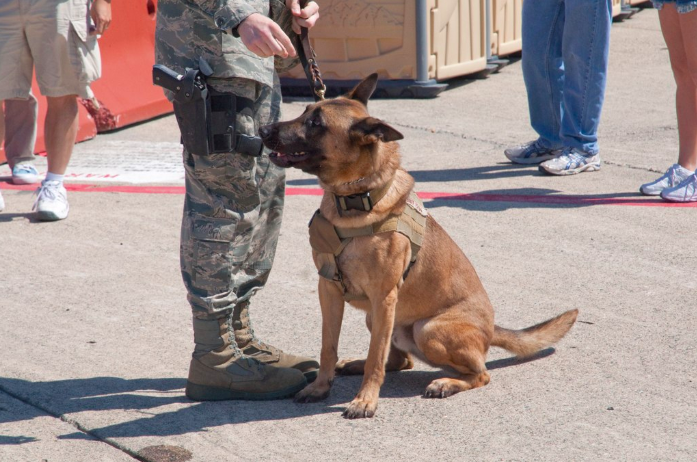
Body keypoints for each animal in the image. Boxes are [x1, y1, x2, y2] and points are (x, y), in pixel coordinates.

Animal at [258, 75, 572, 418]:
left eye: (316, 123)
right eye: (305, 112)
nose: (263, 129)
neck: (356, 200)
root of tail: (491, 328)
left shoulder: (383, 297)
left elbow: (376, 359)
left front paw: (365, 400)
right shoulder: (328, 290)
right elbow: (329, 347)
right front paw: (319, 387)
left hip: (426, 328)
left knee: (480, 374)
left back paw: (446, 383)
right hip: (379, 319)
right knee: (402, 360)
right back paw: (355, 364)